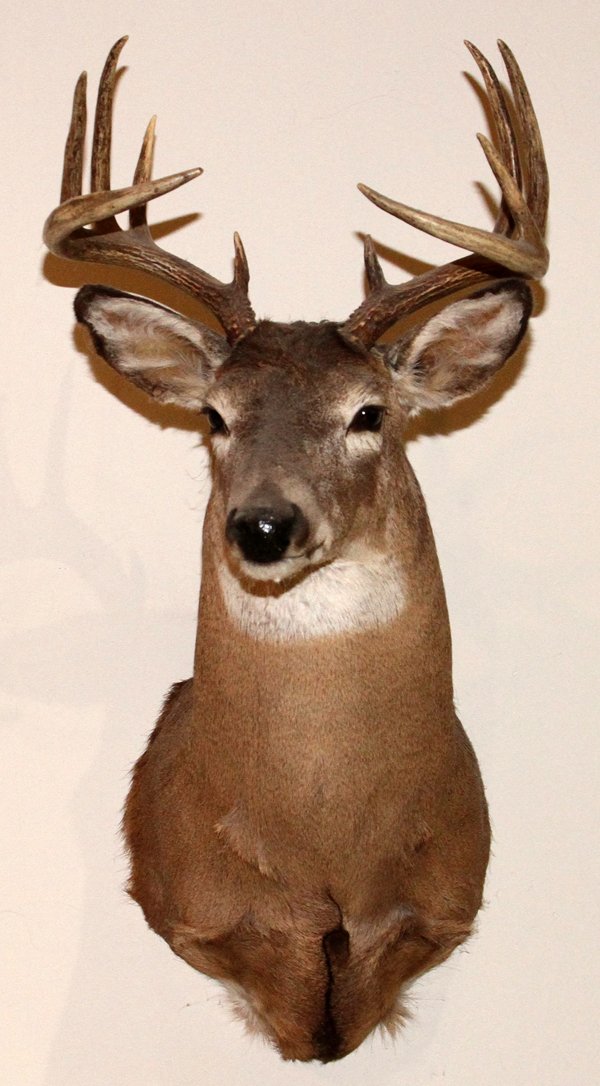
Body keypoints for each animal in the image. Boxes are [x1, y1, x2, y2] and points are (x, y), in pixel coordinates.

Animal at [43, 38, 548, 1062]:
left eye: (370, 414)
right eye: (213, 415)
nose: (264, 525)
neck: (327, 849)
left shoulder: (437, 912)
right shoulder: (206, 915)